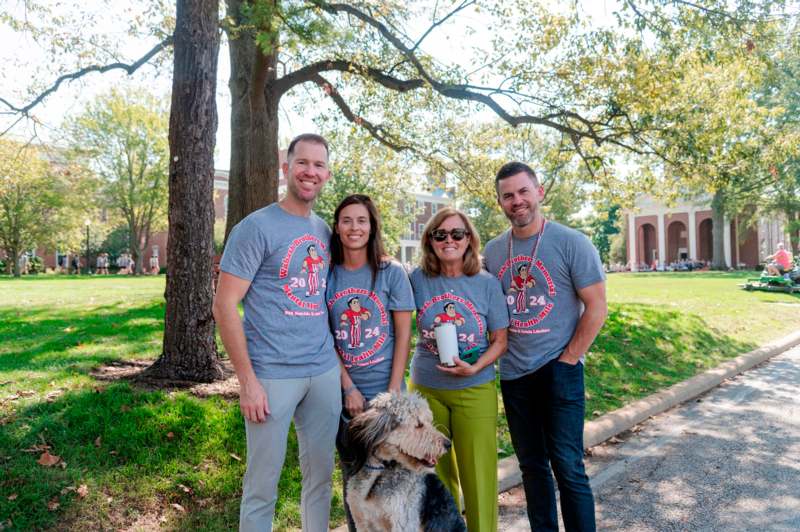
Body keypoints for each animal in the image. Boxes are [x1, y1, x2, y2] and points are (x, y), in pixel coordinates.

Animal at [346, 390, 468, 532]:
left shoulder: (403, 522)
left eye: (429, 421)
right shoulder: (361, 521)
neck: (380, 470)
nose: (448, 444)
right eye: (419, 424)